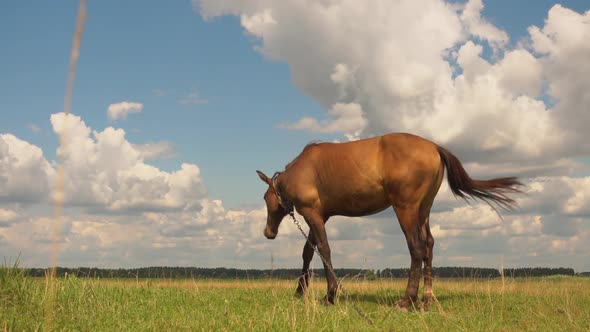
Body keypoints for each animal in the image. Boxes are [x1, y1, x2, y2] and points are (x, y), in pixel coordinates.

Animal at [256, 131, 524, 310]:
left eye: (265, 198)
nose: (268, 232)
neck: (301, 170)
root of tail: (434, 147)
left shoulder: (312, 213)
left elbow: (324, 250)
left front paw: (330, 295)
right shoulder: (320, 216)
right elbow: (308, 252)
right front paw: (300, 291)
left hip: (405, 209)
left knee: (416, 247)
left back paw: (407, 300)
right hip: (424, 210)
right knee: (429, 246)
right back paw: (426, 299)